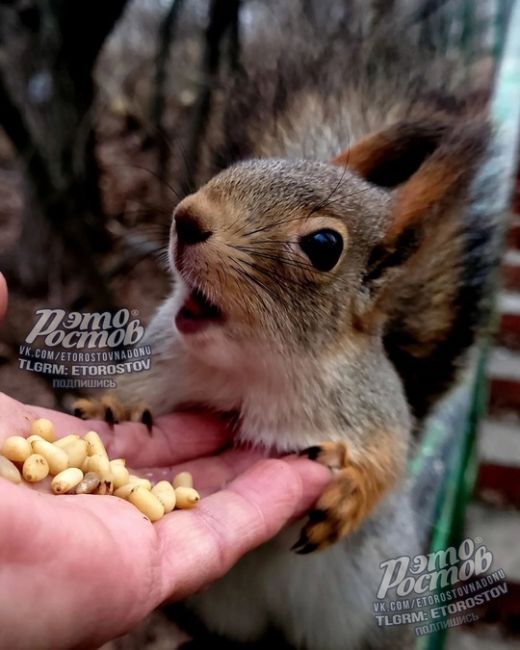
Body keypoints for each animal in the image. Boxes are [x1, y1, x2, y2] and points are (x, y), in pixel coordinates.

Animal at [73, 2, 500, 644]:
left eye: (324, 245)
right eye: (239, 165)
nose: (185, 218)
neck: (254, 367)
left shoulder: (370, 405)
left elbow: (388, 459)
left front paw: (349, 497)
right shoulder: (166, 356)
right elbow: (134, 386)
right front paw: (109, 406)